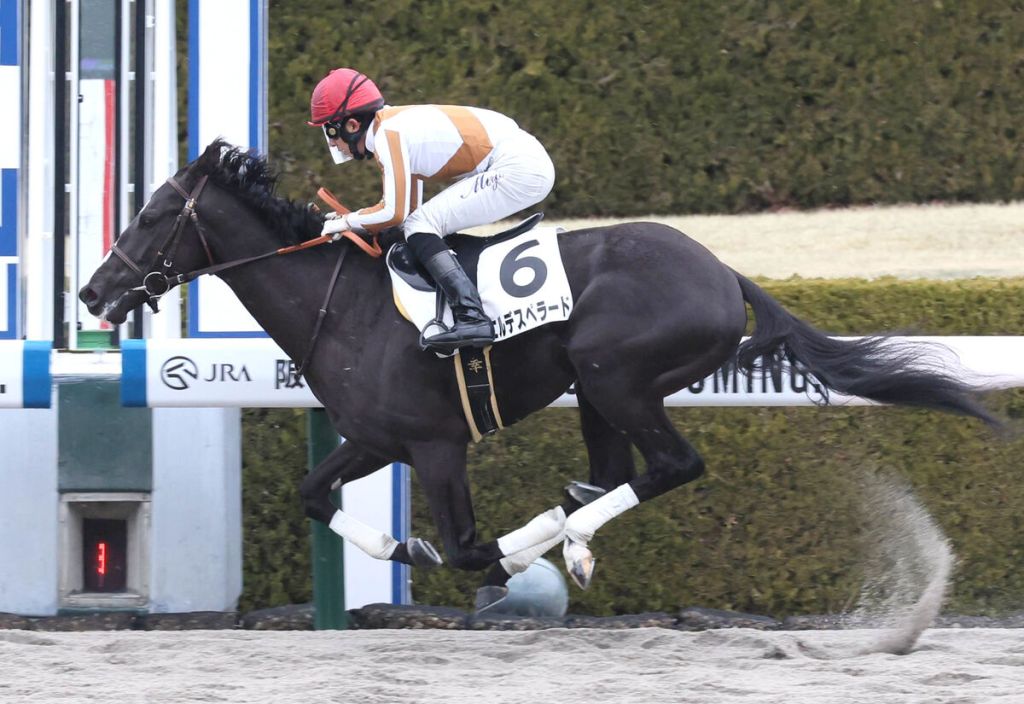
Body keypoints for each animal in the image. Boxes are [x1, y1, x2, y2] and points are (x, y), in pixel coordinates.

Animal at [79, 140, 997, 609]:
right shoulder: (376, 438)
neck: (345, 307)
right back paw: (576, 535)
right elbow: (313, 494)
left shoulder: (436, 446)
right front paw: (404, 545)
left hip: (615, 373)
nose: (93, 290)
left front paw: (491, 555)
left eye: (152, 215)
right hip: (597, 389)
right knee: (614, 472)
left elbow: (462, 546)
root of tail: (722, 272)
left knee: (672, 465)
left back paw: (560, 536)